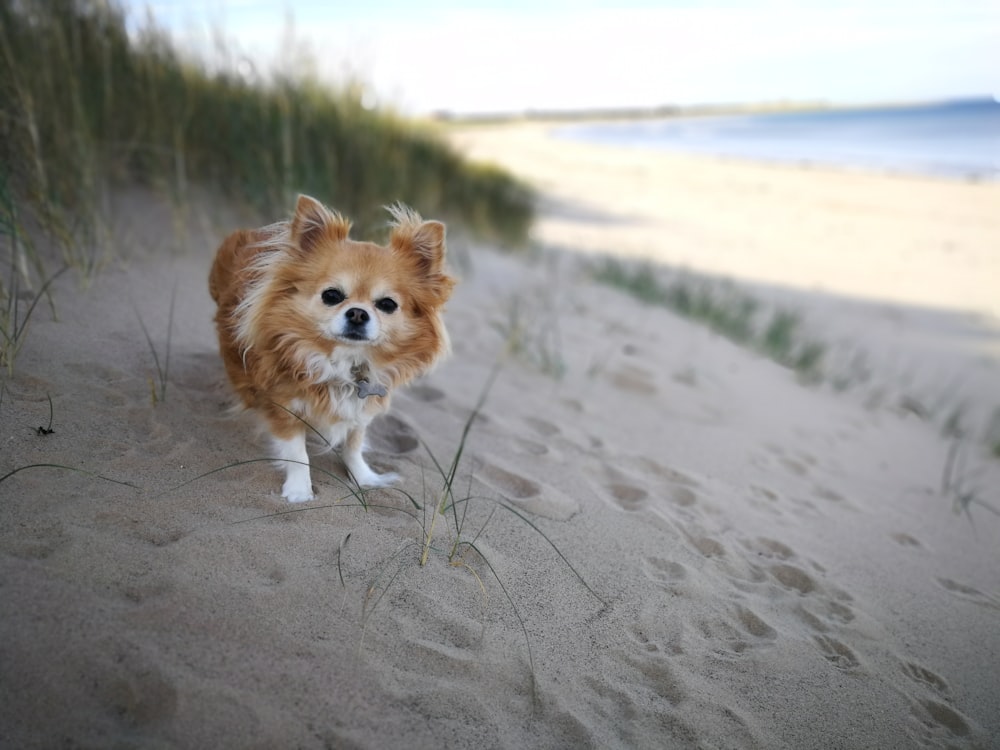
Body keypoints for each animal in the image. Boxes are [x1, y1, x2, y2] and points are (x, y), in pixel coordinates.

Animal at [209, 194, 456, 502]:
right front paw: (299, 491)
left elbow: (354, 444)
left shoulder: (362, 405)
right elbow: (297, 453)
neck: (345, 363)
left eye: (387, 304)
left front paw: (364, 478)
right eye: (332, 295)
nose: (358, 313)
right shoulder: (283, 405)